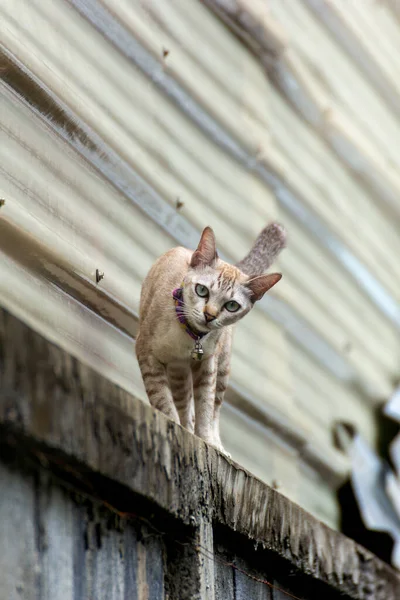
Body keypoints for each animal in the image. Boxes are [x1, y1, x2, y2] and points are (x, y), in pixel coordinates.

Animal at [136, 224, 286, 454]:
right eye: (202, 290)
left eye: (232, 305)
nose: (209, 315)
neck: (188, 335)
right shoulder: (147, 353)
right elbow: (161, 398)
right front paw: (172, 424)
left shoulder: (208, 366)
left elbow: (205, 409)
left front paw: (206, 440)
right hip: (178, 374)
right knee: (184, 405)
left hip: (221, 370)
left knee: (213, 409)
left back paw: (217, 444)